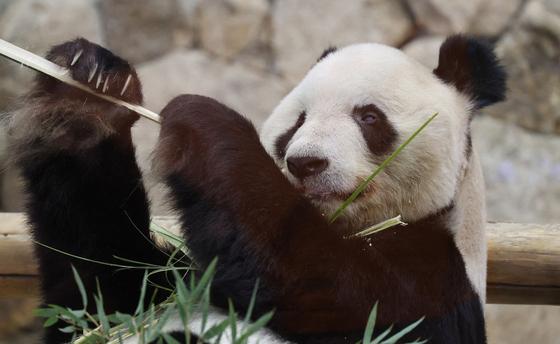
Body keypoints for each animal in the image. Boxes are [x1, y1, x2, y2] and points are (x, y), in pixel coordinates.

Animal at [7, 35, 508, 344]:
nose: (305, 162)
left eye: (369, 118)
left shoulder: (435, 286)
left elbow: (324, 287)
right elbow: (99, 283)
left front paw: (201, 122)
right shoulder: (174, 281)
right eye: (297, 123)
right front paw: (89, 86)